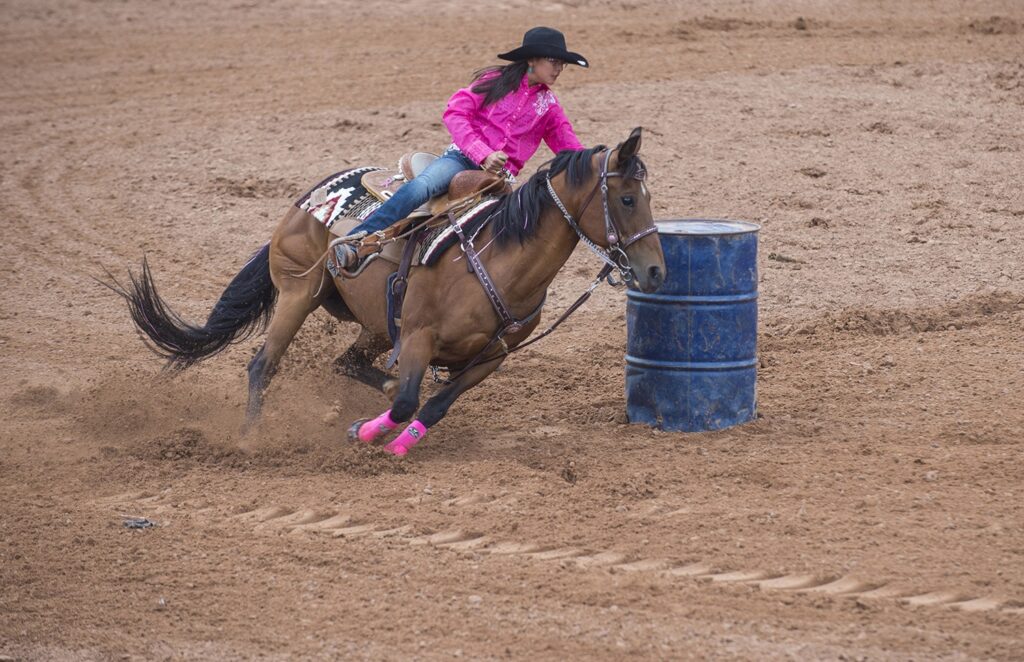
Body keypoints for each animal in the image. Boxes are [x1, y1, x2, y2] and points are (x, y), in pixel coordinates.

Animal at [112, 126, 667, 457]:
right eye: (626, 198)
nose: (657, 272)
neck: (501, 260)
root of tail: (308, 195)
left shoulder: (491, 358)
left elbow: (433, 405)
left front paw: (396, 444)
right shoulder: (419, 337)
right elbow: (405, 402)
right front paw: (365, 432)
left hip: (378, 324)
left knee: (347, 363)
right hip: (298, 294)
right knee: (262, 366)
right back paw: (250, 440)